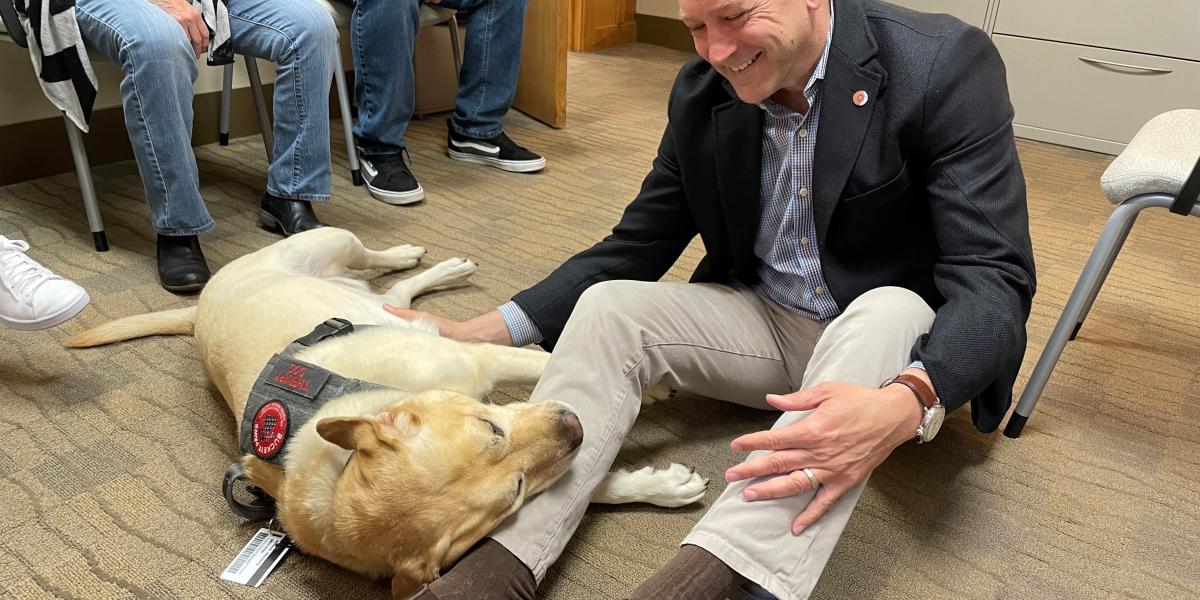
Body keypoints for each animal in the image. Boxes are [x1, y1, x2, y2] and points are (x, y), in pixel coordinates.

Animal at [65, 226, 705, 597]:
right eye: (515, 492)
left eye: (489, 426)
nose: (573, 422)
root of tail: (196, 309)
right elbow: (587, 480)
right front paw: (659, 484)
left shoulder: (480, 362)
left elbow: (540, 361)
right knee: (397, 294)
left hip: (331, 241)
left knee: (384, 268)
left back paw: (420, 257)